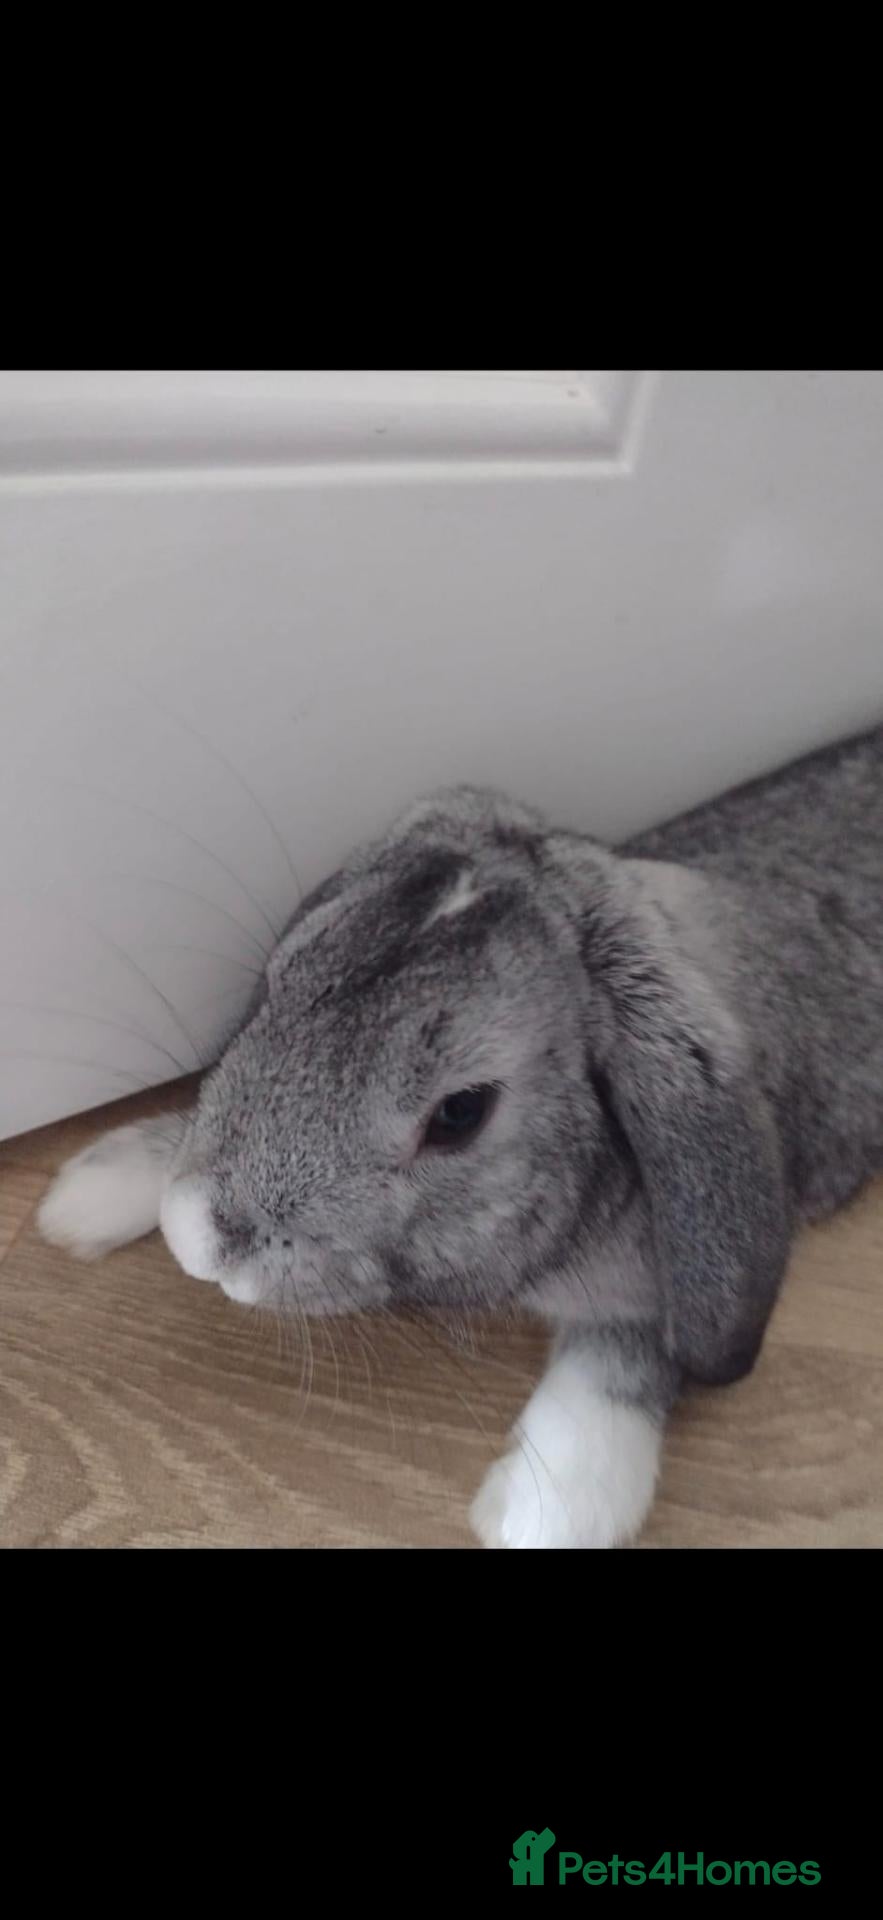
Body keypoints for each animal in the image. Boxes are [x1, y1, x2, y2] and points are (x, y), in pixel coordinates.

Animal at [38, 724, 883, 1548]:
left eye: (460, 1114)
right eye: (279, 980)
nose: (200, 1242)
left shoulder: (654, 1285)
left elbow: (624, 1355)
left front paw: (544, 1511)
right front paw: (80, 1202)